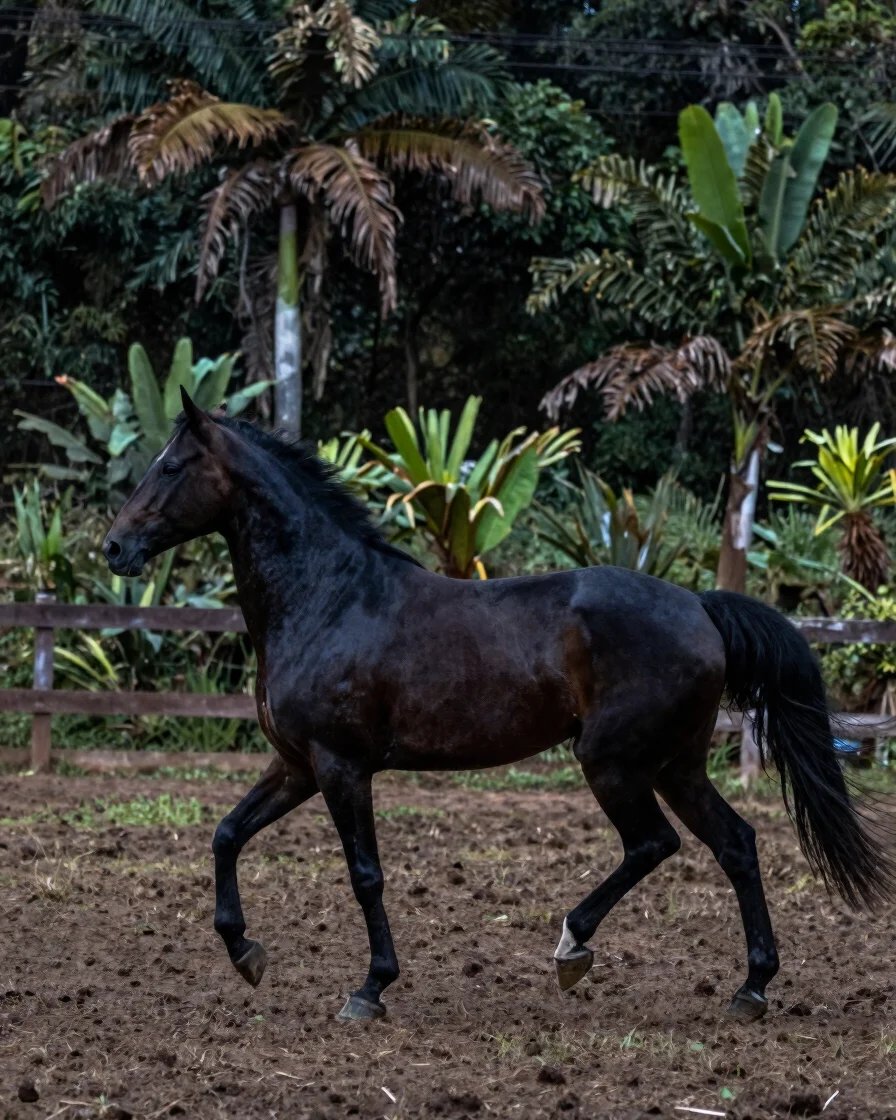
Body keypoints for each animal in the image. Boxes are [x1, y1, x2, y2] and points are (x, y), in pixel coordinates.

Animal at [101, 388, 892, 1023]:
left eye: (171, 467)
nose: (113, 547)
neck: (328, 599)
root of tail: (700, 605)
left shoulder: (341, 767)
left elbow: (365, 875)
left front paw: (370, 990)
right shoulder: (296, 766)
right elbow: (226, 835)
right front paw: (246, 953)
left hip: (611, 761)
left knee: (654, 844)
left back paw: (573, 948)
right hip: (677, 764)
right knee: (736, 844)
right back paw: (750, 988)